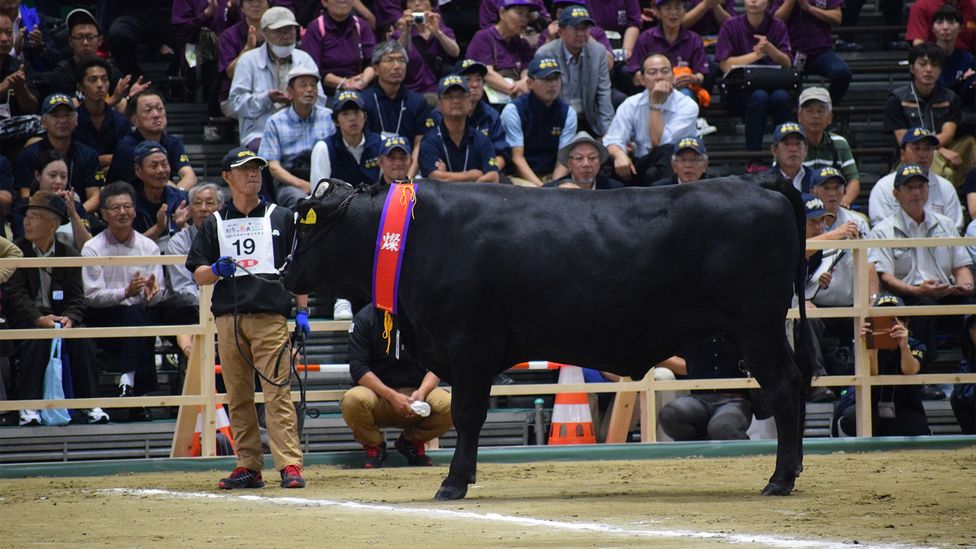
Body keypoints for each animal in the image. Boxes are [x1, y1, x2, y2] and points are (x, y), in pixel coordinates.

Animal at [286, 176, 812, 500]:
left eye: (304, 228)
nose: (286, 274)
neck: (416, 234)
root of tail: (754, 181)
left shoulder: (468, 345)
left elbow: (468, 415)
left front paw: (454, 483)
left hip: (757, 326)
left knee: (784, 387)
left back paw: (780, 478)